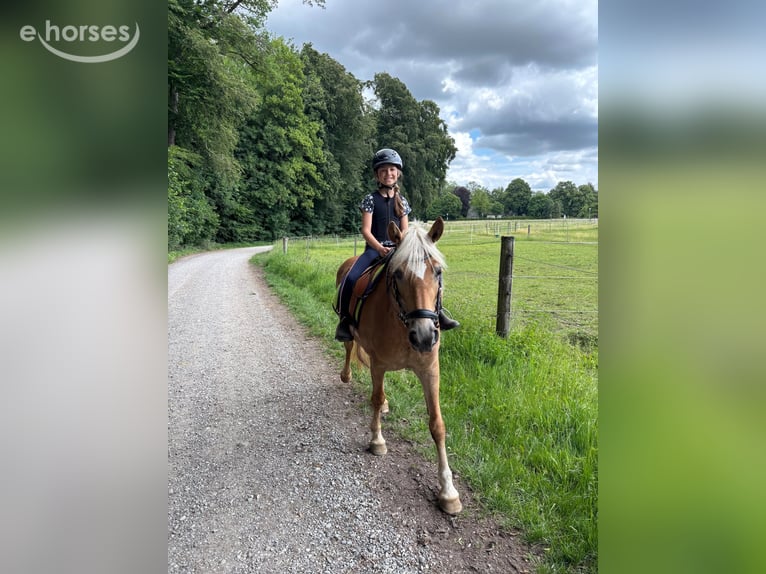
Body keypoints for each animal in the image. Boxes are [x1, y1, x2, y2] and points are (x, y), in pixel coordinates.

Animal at [335, 217, 462, 514]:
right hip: (351, 337)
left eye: (437, 271)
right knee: (349, 349)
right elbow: (375, 396)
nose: (425, 336)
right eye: (398, 274)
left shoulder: (430, 371)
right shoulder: (378, 365)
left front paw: (448, 491)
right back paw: (346, 376)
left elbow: (437, 424)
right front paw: (377, 441)